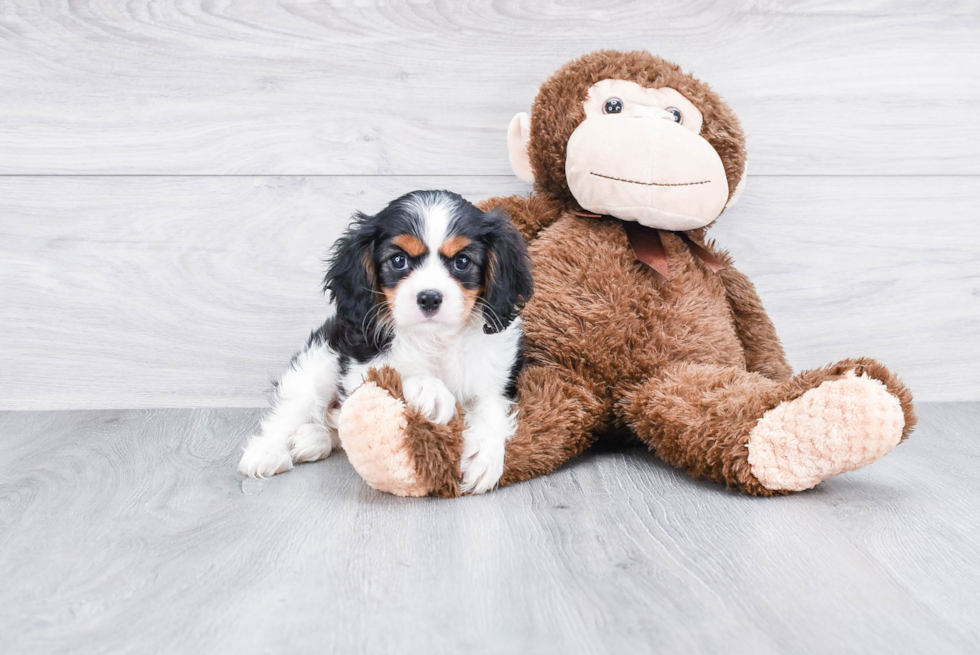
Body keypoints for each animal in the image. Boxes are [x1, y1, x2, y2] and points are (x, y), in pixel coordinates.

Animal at [238, 192, 532, 494]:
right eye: (399, 260)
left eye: (462, 262)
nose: (429, 297)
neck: (435, 337)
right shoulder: (359, 363)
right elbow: (391, 373)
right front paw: (429, 389)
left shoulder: (496, 377)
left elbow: (490, 408)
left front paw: (482, 456)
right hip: (317, 364)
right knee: (293, 408)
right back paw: (268, 451)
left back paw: (312, 438)